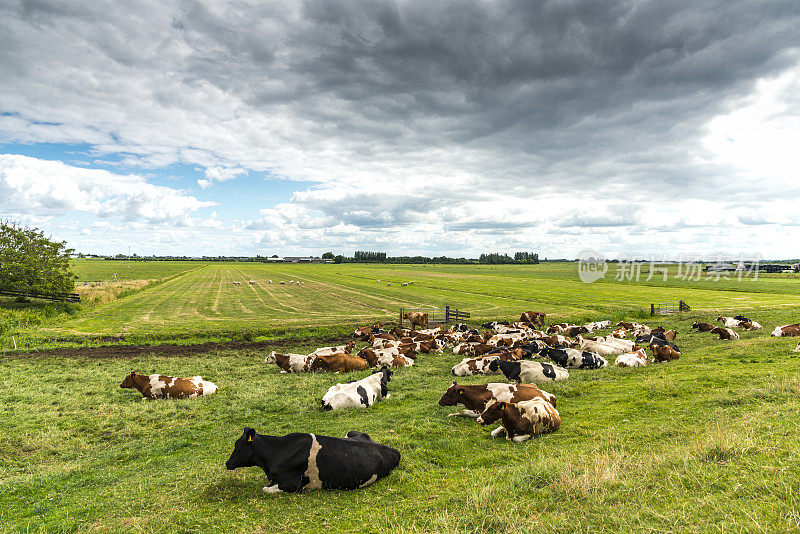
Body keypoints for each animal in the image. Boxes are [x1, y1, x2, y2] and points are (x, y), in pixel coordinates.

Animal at [223, 430, 400, 496]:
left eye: (237, 445)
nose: (227, 463)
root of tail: (393, 449)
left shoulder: (293, 485)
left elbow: (265, 488)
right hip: (351, 432)